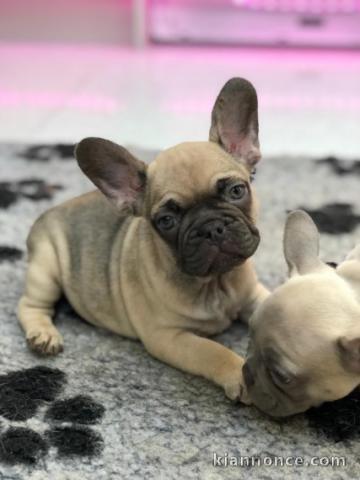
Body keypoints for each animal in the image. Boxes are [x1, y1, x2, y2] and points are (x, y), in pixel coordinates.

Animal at [18, 78, 268, 402]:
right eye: (166, 221)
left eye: (237, 191)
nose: (211, 228)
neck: (215, 283)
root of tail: (50, 211)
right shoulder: (170, 336)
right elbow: (212, 351)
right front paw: (239, 373)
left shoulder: (252, 295)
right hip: (45, 268)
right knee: (30, 304)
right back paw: (43, 334)